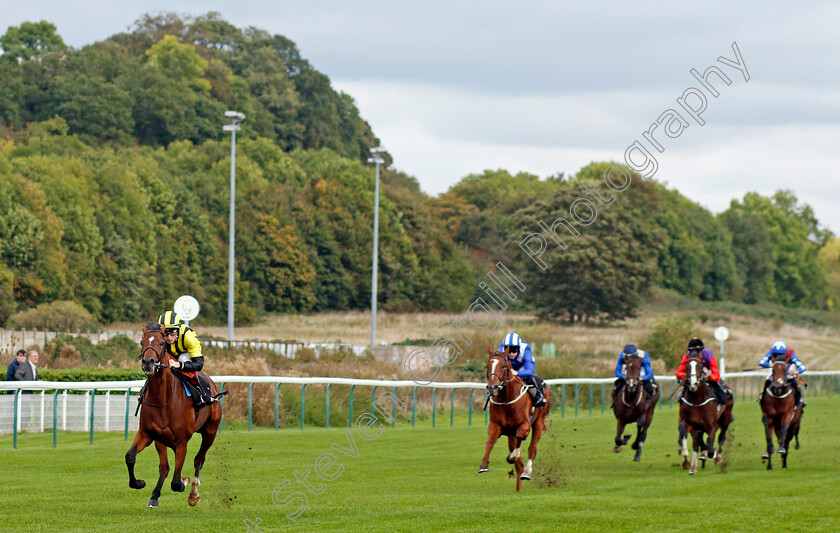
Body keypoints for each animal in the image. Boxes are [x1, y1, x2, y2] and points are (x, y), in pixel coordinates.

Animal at [124, 322, 223, 510]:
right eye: (141, 342)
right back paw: (154, 496)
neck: (163, 398)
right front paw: (139, 483)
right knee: (165, 467)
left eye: (162, 343)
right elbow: (130, 457)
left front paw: (184, 482)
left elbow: (176, 482)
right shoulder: (148, 434)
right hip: (161, 440)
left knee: (199, 460)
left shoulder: (182, 441)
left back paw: (193, 494)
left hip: (210, 432)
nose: (148, 362)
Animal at [480, 350, 552, 490]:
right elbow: (489, 442)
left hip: (539, 422)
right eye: (487, 366)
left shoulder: (524, 425)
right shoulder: (496, 426)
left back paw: (526, 472)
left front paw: (513, 456)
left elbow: (521, 437)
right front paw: (484, 465)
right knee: (519, 461)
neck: (507, 400)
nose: (492, 388)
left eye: (503, 366)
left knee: (532, 448)